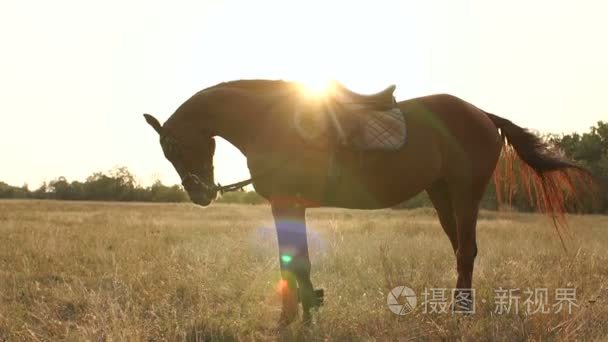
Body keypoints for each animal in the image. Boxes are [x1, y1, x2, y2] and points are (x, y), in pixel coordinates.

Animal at [144, 79, 592, 324]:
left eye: (176, 147)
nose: (200, 194)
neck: (270, 120)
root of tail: (482, 114)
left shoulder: (286, 203)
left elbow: (293, 261)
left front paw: (295, 314)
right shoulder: (291, 205)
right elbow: (297, 259)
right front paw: (306, 309)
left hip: (466, 192)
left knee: (465, 250)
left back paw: (460, 312)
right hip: (442, 193)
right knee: (462, 250)